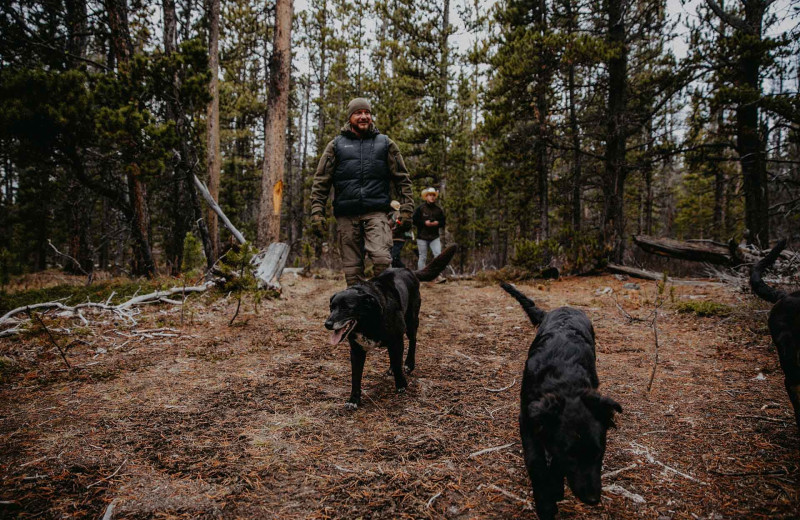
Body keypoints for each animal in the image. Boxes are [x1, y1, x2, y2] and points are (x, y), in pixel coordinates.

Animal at [500, 282, 624, 520]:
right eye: (571, 455)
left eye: (599, 452)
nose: (593, 500)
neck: (565, 383)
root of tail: (564, 307)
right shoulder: (526, 418)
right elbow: (536, 461)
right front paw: (545, 504)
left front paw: (556, 487)